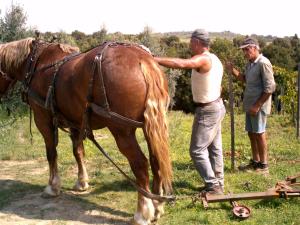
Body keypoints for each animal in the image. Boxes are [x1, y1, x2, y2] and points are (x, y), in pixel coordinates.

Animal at [0, 37, 172, 224]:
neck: (36, 64)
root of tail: (143, 60)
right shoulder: (75, 122)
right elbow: (78, 152)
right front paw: (81, 182)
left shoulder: (43, 119)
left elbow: (51, 153)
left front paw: (52, 186)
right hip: (150, 127)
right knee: (156, 160)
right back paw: (157, 206)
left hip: (122, 131)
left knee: (140, 164)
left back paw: (143, 212)